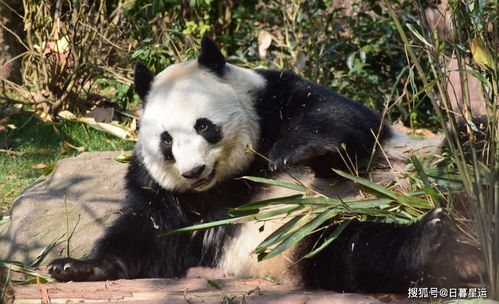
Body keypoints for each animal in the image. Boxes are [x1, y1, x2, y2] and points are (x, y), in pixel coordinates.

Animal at [47, 35, 480, 292]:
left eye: (204, 126)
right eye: (166, 140)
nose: (193, 172)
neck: (228, 179)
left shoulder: (275, 96)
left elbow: (345, 125)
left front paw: (295, 152)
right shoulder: (167, 196)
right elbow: (148, 236)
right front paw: (75, 267)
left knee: (456, 148)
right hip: (303, 240)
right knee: (356, 249)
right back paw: (430, 237)